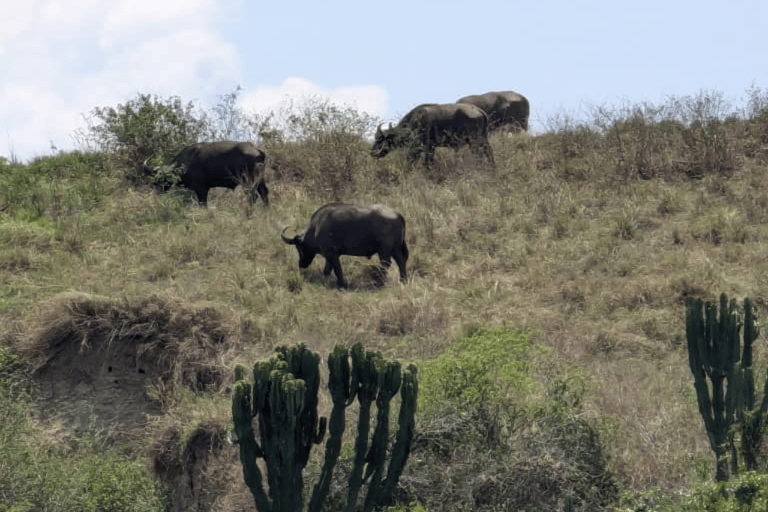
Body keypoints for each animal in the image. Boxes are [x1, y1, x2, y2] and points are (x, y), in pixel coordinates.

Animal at [282, 202, 412, 288]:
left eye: (299, 248)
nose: (301, 264)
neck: (316, 227)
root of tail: (397, 214)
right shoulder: (329, 256)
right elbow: (327, 270)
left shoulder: (332, 254)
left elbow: (337, 269)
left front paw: (341, 284)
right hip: (395, 249)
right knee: (401, 261)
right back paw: (403, 280)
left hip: (384, 250)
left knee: (386, 264)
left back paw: (379, 283)